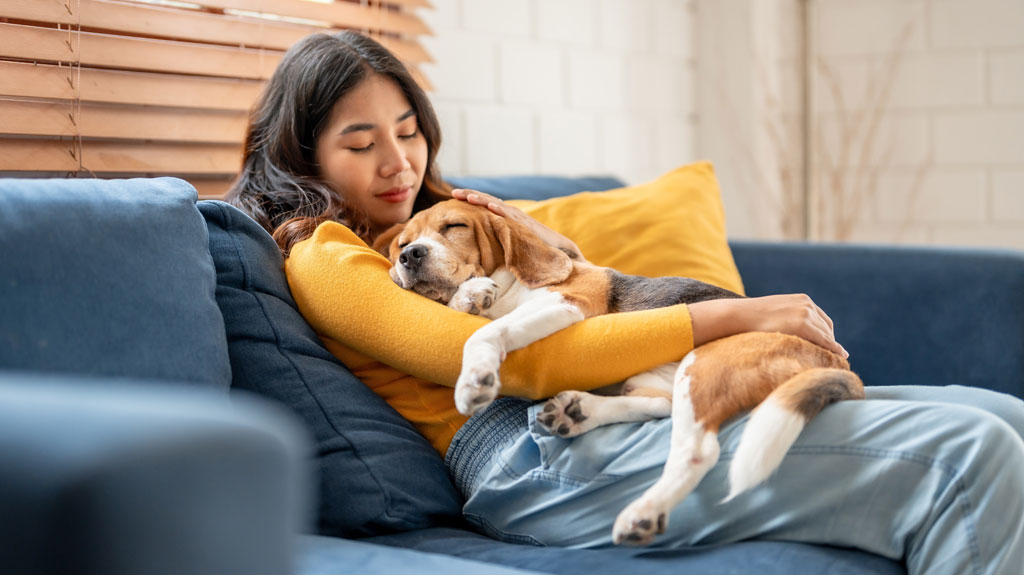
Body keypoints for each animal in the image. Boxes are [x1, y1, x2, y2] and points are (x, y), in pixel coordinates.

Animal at [372, 199, 860, 544]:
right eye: (401, 243)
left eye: (454, 227)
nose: (410, 256)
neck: (512, 284)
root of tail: (838, 360)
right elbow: (475, 313)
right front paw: (470, 296)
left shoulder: (568, 304)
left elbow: (485, 334)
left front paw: (475, 376)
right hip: (663, 376)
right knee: (658, 406)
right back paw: (578, 412)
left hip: (706, 363)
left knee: (698, 448)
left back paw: (643, 511)